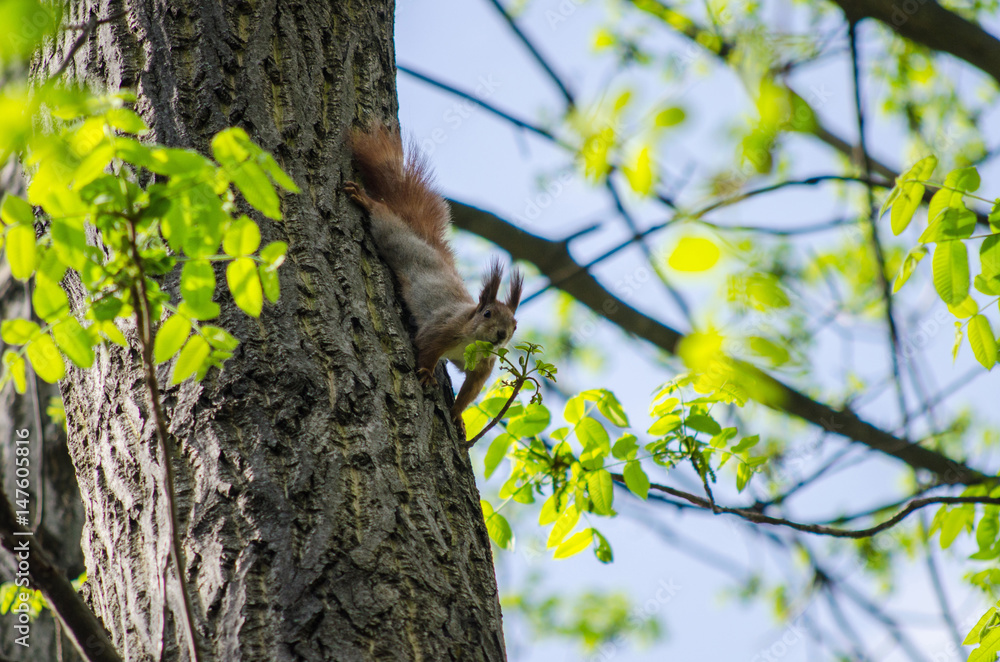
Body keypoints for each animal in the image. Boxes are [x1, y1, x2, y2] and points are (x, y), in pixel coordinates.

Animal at [343, 126, 523, 427]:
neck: (473, 340)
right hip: (394, 238)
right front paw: (427, 373)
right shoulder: (443, 328)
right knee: (383, 216)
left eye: (514, 325)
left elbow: (470, 391)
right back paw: (366, 201)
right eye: (487, 313)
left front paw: (457, 415)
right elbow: (426, 346)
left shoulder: (482, 366)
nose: (501, 335)